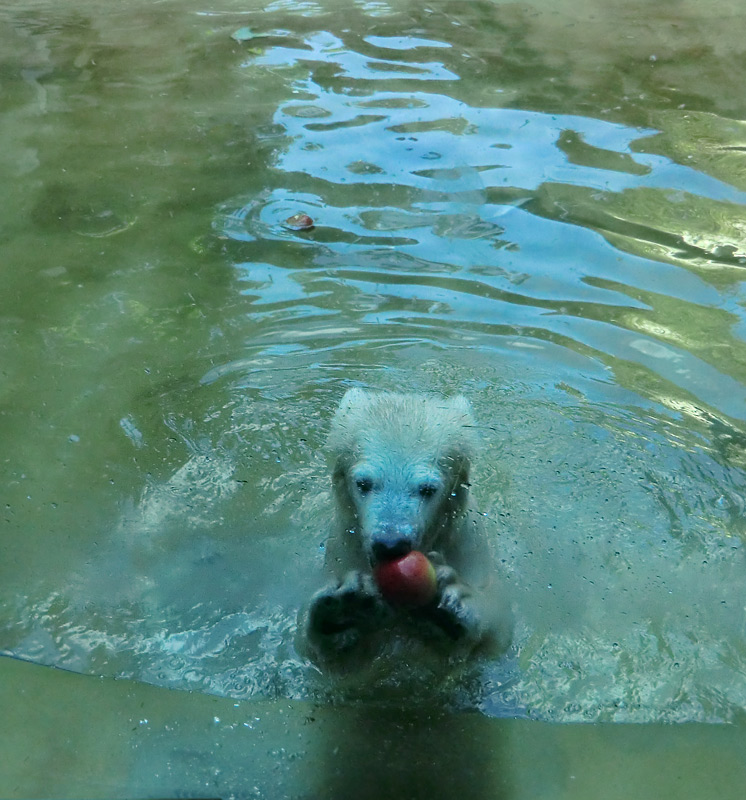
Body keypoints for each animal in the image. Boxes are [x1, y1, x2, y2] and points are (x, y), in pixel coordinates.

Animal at [302, 390, 512, 668]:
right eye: (363, 483)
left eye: (427, 489)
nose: (390, 545)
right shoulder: (343, 544)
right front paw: (342, 611)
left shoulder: (467, 541)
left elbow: (499, 628)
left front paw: (454, 603)